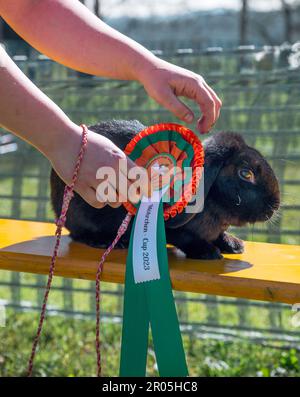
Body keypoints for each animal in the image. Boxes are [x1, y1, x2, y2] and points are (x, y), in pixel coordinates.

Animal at [50, 119, 280, 258]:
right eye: (246, 173)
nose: (275, 205)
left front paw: (234, 245)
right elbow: (186, 238)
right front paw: (208, 252)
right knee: (77, 234)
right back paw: (104, 241)